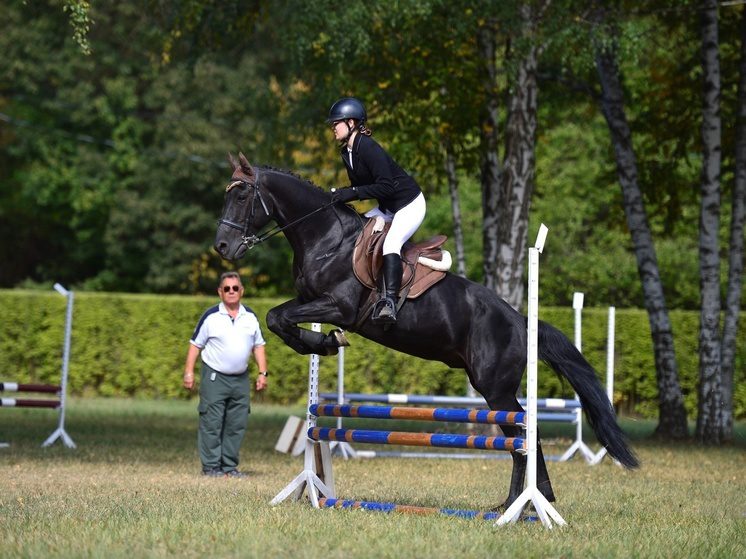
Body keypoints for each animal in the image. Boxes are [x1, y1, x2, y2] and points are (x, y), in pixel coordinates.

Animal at [212, 153, 636, 512]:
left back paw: (527, 502)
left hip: (495, 387)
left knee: (521, 436)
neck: (326, 238)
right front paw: (323, 342)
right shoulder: (310, 300)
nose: (222, 246)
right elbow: (278, 318)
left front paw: (326, 341)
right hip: (492, 388)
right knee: (518, 438)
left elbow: (278, 318)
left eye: (242, 195)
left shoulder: (339, 307)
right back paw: (518, 502)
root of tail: (520, 321)